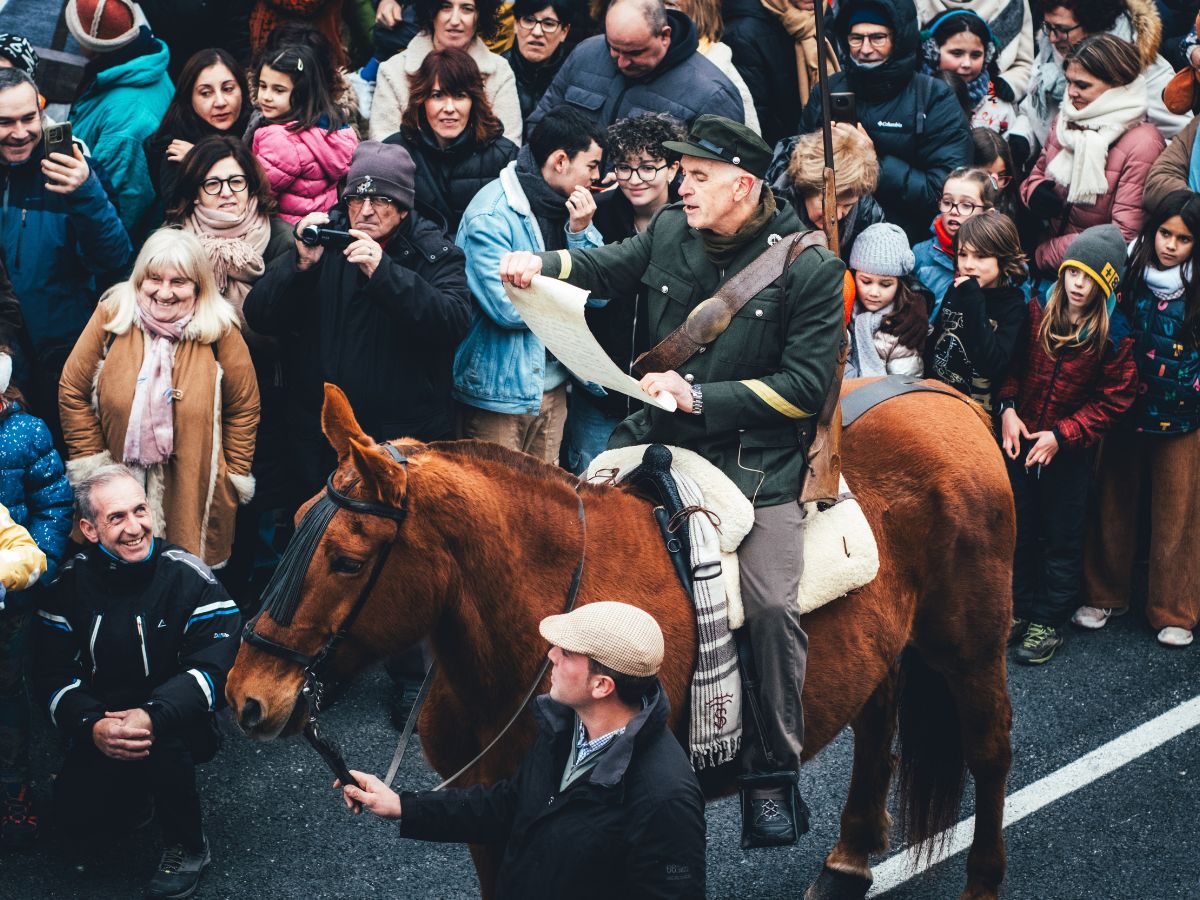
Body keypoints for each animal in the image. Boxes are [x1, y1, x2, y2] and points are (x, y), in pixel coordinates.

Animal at [225, 381, 1012, 900]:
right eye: (293, 518)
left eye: (347, 560)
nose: (246, 698)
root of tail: (946, 394)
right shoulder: (492, 822)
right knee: (879, 722)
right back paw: (849, 859)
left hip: (970, 647)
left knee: (990, 750)